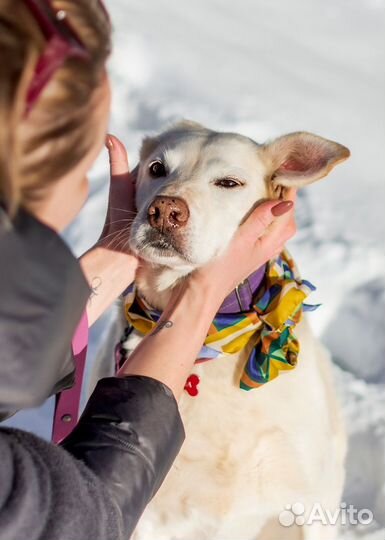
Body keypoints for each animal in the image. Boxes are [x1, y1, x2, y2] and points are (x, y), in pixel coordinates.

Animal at [113, 122, 348, 540]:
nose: (164, 211)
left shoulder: (309, 503)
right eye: (157, 169)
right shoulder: (146, 515)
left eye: (228, 182)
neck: (212, 338)